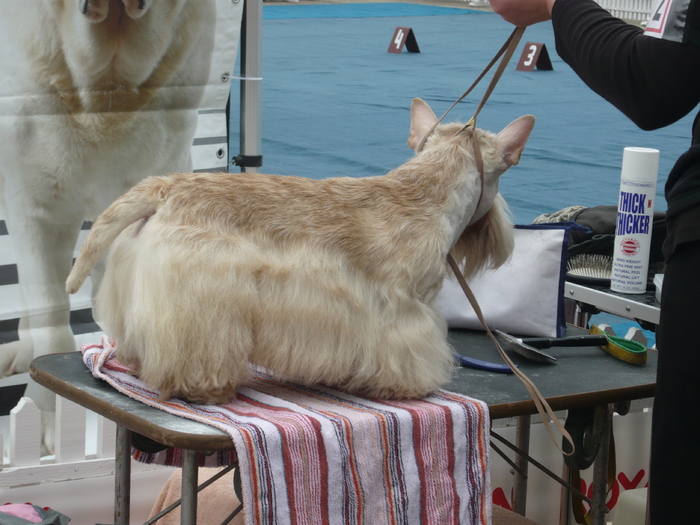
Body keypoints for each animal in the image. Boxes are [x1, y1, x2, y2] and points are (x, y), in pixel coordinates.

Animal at [67, 99, 536, 402]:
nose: (502, 235)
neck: (426, 191)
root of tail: (164, 186)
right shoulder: (404, 310)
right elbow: (403, 351)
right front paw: (404, 386)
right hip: (200, 298)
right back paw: (206, 387)